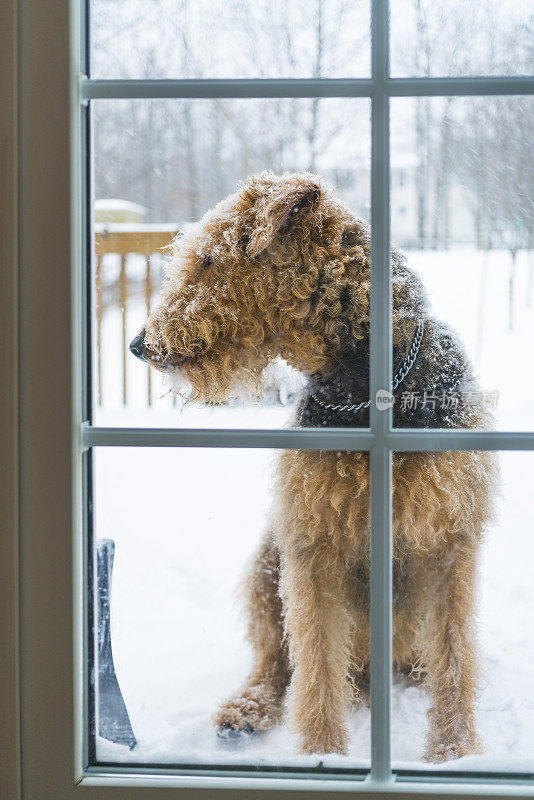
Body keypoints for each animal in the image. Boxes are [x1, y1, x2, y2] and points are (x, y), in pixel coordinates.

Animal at [132, 170, 500, 764]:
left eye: (209, 258)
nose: (140, 344)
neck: (366, 391)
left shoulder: (450, 541)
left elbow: (453, 656)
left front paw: (454, 754)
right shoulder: (314, 545)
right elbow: (317, 663)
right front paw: (322, 754)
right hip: (269, 564)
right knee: (277, 663)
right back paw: (245, 710)